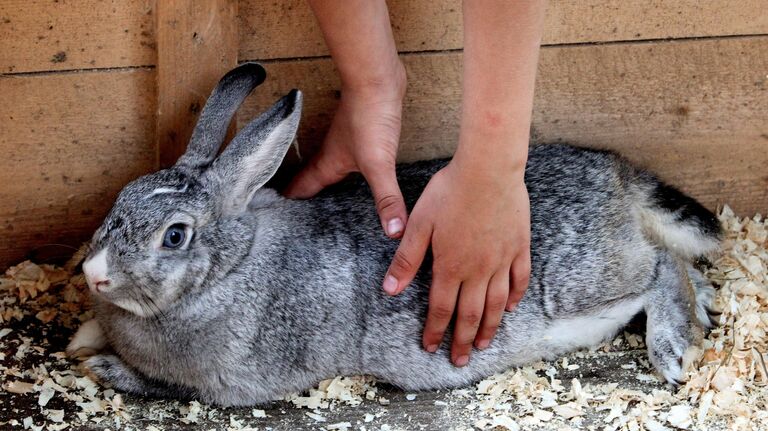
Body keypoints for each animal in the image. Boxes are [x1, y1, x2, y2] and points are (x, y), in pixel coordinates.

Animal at [66, 61, 720, 408]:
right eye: (122, 197)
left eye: (175, 237)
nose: (94, 274)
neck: (232, 266)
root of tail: (618, 176)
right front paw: (82, 338)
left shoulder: (231, 383)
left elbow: (161, 386)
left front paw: (104, 368)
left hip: (582, 284)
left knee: (661, 267)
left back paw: (673, 348)